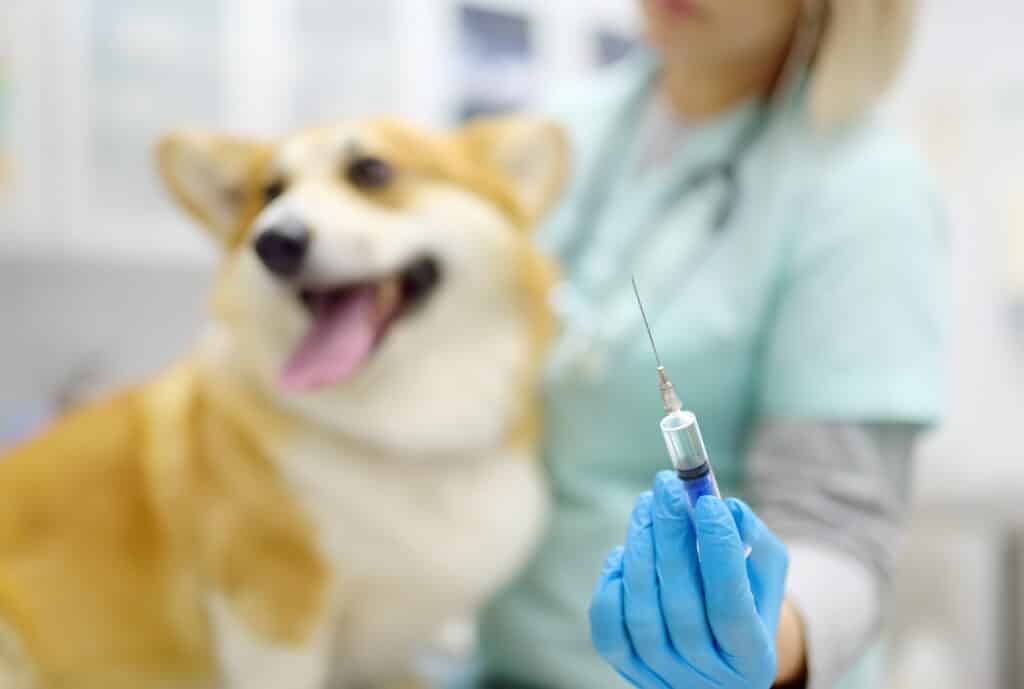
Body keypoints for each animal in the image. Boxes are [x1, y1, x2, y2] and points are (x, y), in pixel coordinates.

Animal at [0, 114, 569, 687]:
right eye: (270, 193)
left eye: (371, 170)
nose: (274, 240)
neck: (402, 434)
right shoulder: (272, 615)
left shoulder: (385, 653)